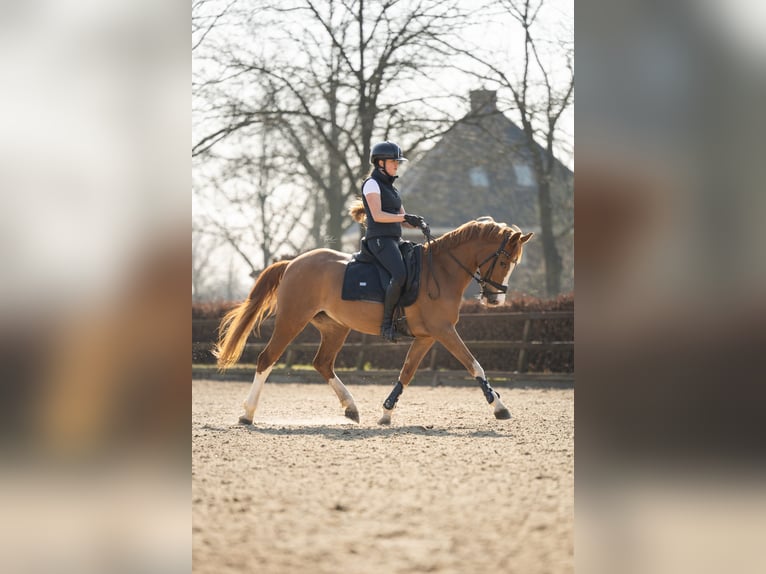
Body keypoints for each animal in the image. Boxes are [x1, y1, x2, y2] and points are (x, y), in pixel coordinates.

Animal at [214, 214, 533, 425]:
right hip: (292, 320)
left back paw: (351, 408)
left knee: (323, 363)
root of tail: (293, 263)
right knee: (267, 359)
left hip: (335, 327)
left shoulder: (427, 336)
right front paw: (500, 407)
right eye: (504, 261)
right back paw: (247, 414)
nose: (495, 300)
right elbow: (474, 364)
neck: (442, 271)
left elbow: (407, 372)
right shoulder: (444, 331)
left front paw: (386, 412)